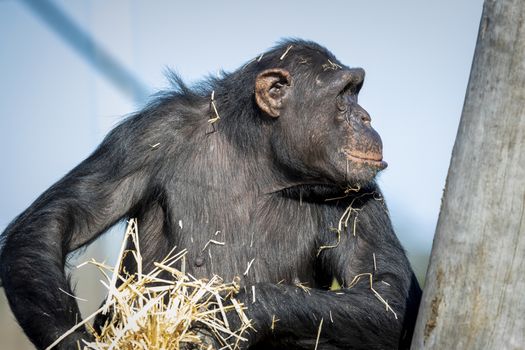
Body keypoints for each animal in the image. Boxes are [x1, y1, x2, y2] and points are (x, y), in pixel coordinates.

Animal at [0, 39, 418, 348]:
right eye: (345, 95)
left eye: (356, 93)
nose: (365, 117)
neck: (261, 158)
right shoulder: (151, 133)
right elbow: (57, 220)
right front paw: (78, 343)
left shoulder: (358, 189)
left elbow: (384, 295)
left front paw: (233, 316)